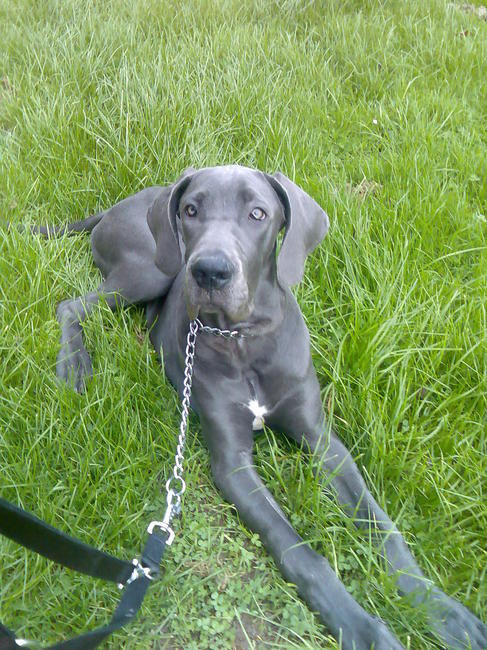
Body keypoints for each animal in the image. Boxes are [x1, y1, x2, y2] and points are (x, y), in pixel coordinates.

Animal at [35, 165, 486, 649]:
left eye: (258, 213)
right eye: (190, 210)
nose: (210, 271)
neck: (242, 338)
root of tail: (117, 205)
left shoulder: (321, 440)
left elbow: (383, 528)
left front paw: (443, 610)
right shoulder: (233, 464)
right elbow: (295, 548)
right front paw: (364, 630)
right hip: (148, 269)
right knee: (71, 304)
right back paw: (74, 365)